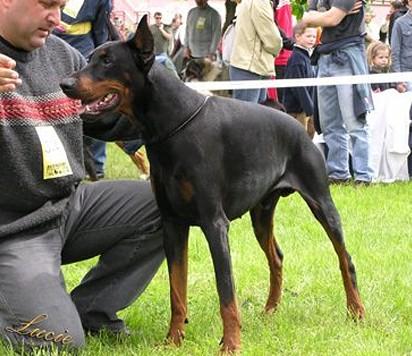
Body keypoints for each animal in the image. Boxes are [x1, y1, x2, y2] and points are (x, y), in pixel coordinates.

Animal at [60, 14, 364, 354]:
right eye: (90, 58)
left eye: (108, 61)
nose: (65, 84)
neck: (170, 125)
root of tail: (299, 127)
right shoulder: (172, 224)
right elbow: (176, 289)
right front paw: (173, 340)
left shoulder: (214, 223)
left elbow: (226, 291)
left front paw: (230, 344)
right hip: (261, 213)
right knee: (276, 257)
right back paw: (271, 310)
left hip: (321, 202)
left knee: (345, 258)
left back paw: (356, 311)